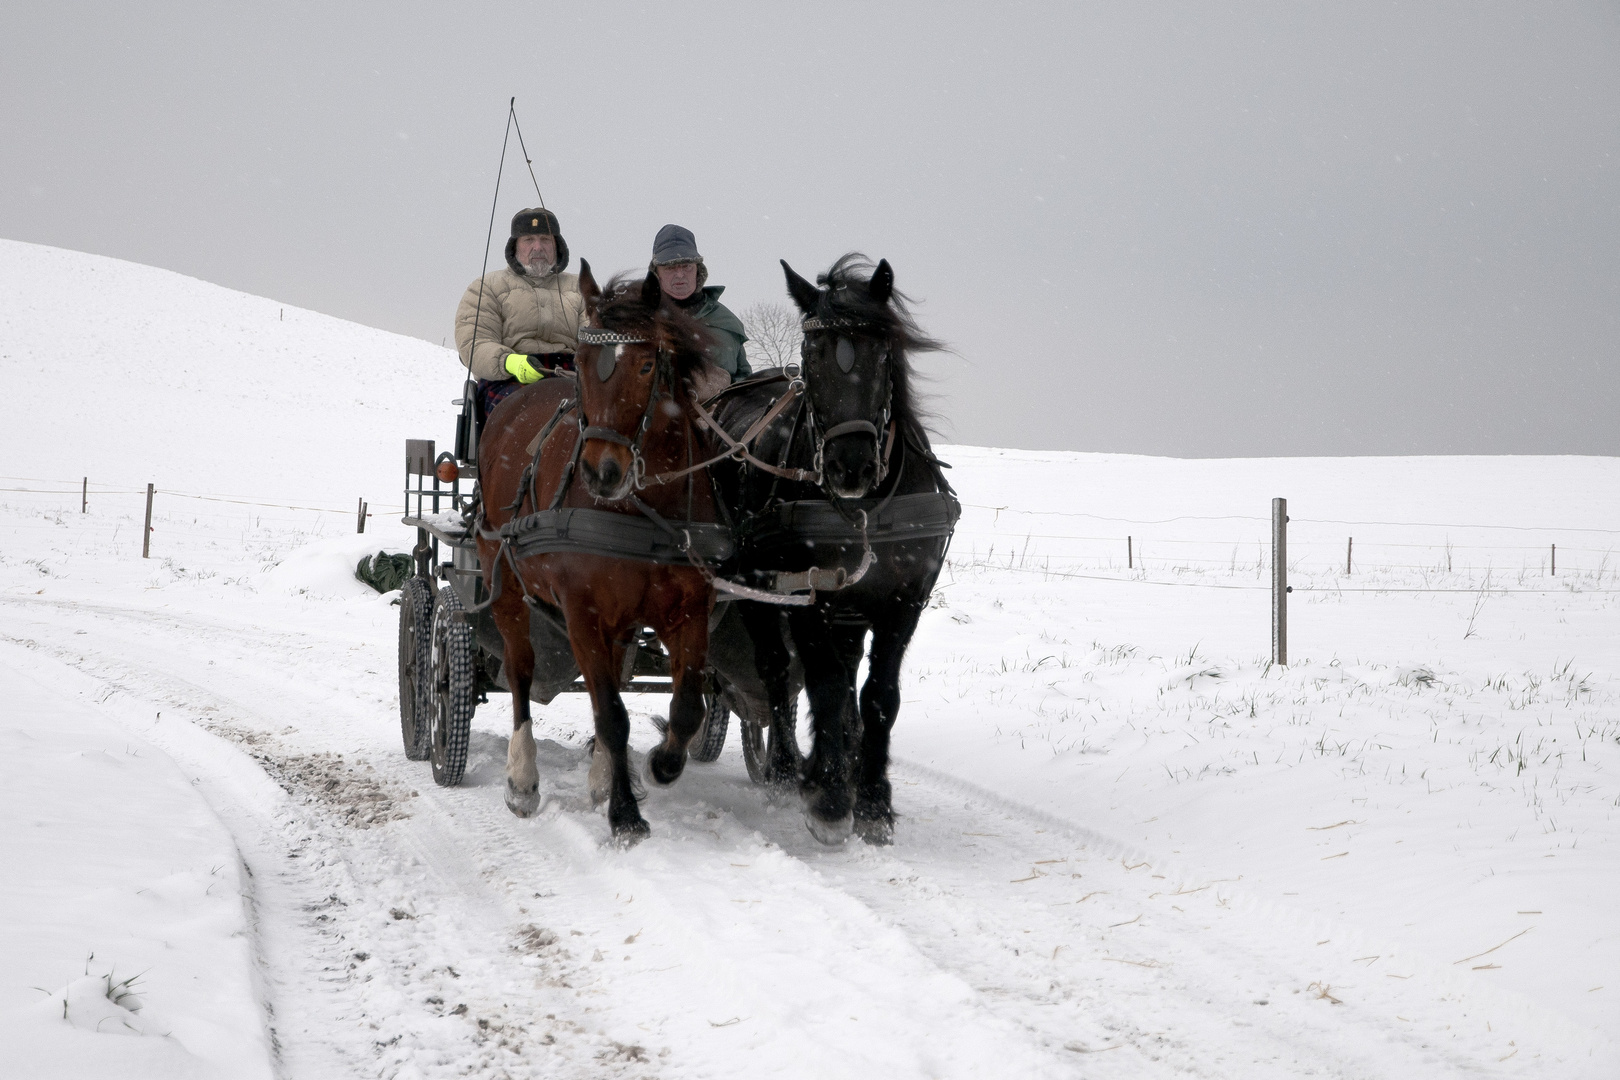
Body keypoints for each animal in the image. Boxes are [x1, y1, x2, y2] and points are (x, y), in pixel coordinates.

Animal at [473, 263, 719, 841]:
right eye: (583, 364)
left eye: (648, 364)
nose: (600, 471)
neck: (645, 512)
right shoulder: (581, 609)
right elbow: (611, 713)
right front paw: (625, 815)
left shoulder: (688, 610)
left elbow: (687, 705)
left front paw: (659, 764)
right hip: (503, 579)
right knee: (520, 669)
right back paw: (523, 778)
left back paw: (604, 774)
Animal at [712, 255, 959, 841]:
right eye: (812, 356)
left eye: (881, 353)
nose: (851, 467)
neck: (865, 510)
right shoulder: (809, 598)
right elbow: (822, 685)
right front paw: (827, 796)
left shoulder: (902, 603)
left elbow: (878, 696)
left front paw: (871, 798)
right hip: (757, 590)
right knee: (777, 670)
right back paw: (785, 769)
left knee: (844, 678)